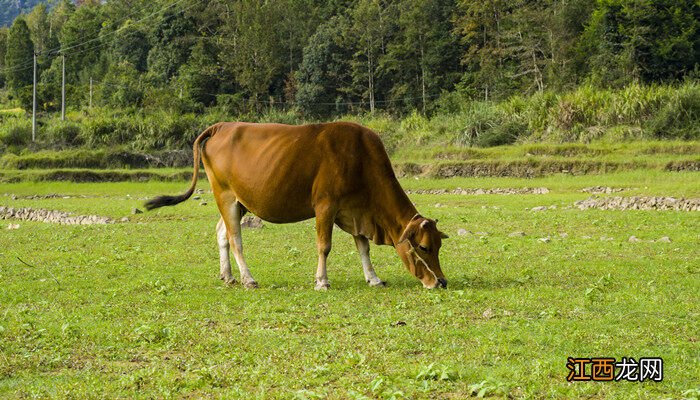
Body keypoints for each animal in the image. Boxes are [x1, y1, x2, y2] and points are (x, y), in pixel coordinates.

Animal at [146, 120, 448, 290]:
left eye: (439, 246)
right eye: (423, 247)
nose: (441, 282)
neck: (360, 159)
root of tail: (220, 126)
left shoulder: (355, 211)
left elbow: (363, 248)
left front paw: (373, 279)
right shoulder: (325, 206)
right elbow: (324, 246)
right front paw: (322, 281)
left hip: (239, 201)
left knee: (221, 233)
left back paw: (228, 276)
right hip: (225, 196)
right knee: (235, 239)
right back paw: (247, 279)